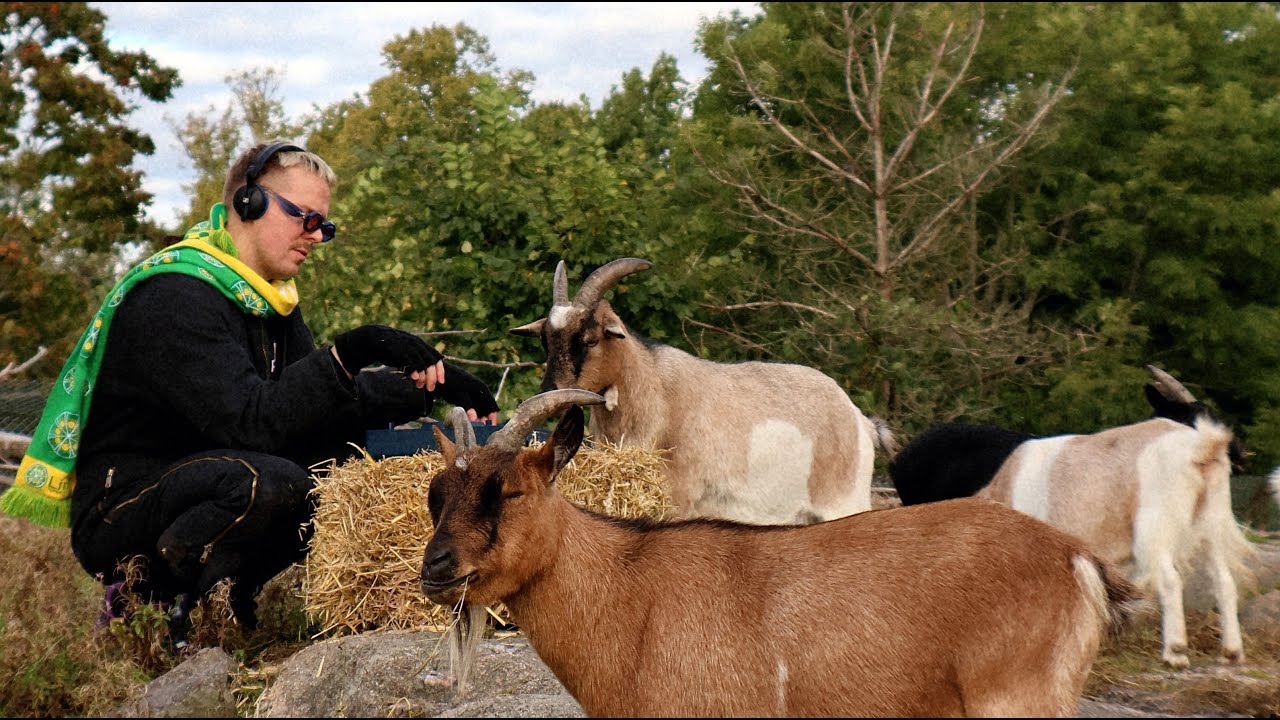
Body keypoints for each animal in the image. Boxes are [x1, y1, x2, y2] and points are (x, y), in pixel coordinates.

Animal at [420, 389, 1135, 718]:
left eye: (509, 490)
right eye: (435, 494)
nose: (436, 568)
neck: (631, 603)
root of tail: (1076, 561)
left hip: (1016, 700)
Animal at [511, 258, 893, 525]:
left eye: (590, 339)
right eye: (546, 340)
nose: (550, 392)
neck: (655, 390)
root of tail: (860, 422)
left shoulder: (681, 502)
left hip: (843, 503)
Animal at [890, 368, 1254, 668]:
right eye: (1190, 412)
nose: (1239, 456)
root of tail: (1204, 446)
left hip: (1158, 525)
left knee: (1170, 579)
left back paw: (1175, 652)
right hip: (1209, 522)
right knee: (1223, 579)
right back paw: (1231, 652)